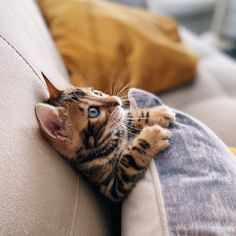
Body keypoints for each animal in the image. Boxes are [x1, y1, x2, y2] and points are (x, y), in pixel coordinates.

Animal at [35, 73, 175, 201]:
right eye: (93, 112)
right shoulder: (111, 187)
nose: (117, 101)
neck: (110, 140)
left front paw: (158, 114)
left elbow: (126, 117)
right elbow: (129, 160)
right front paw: (152, 137)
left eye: (96, 92)